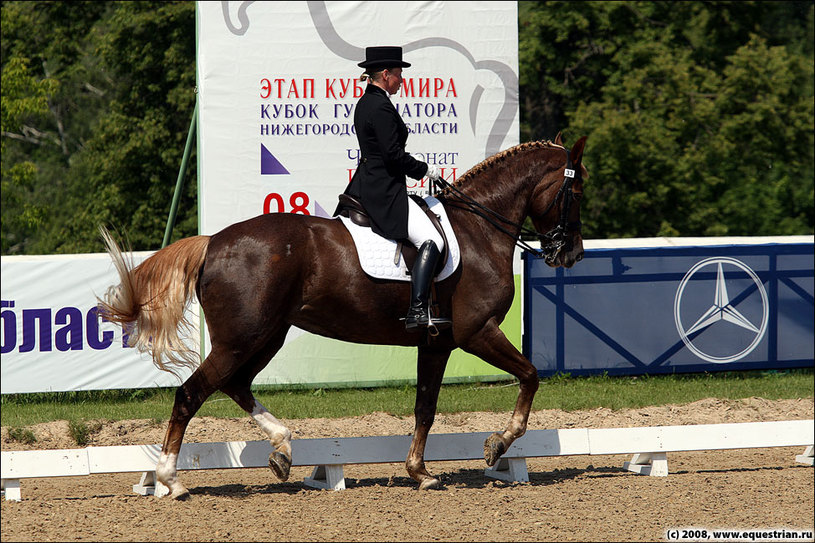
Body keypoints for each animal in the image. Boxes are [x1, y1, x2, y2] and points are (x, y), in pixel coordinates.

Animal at [99, 134, 588, 500]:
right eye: (577, 191)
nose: (572, 255)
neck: (478, 231)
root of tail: (214, 242)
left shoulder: (437, 343)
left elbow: (425, 407)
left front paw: (420, 472)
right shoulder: (477, 332)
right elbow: (530, 376)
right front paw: (497, 444)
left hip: (266, 335)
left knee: (235, 384)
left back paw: (282, 448)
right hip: (243, 337)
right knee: (191, 393)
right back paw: (171, 481)